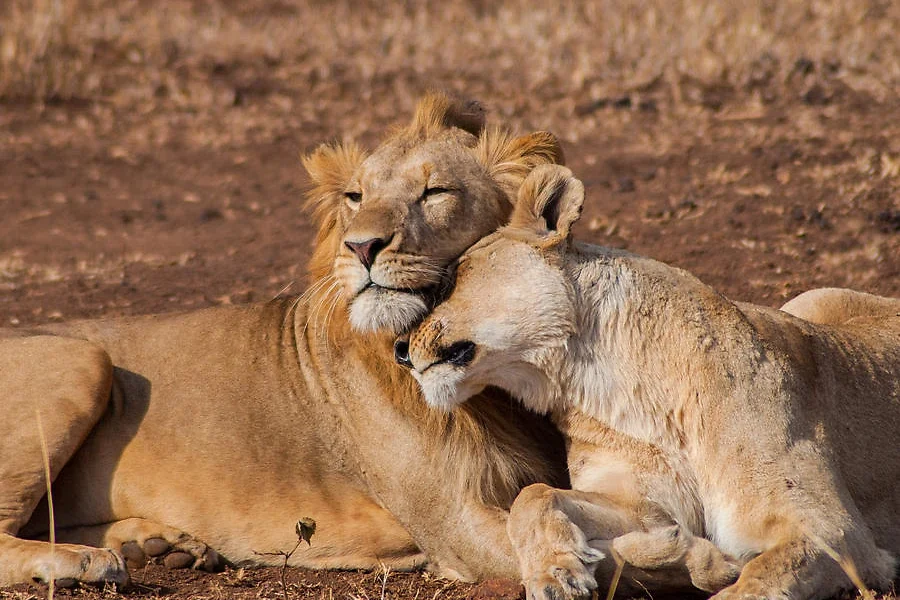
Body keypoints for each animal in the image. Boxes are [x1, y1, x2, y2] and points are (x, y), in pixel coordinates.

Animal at [0, 93, 571, 587]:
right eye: (355, 197)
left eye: (435, 193)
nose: (361, 246)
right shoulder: (458, 527)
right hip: (80, 357)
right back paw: (84, 561)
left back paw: (158, 546)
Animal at [399, 165, 900, 600]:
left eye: (450, 281)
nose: (400, 349)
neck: (613, 387)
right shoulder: (641, 500)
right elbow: (534, 496)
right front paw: (556, 571)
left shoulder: (842, 535)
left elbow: (766, 572)